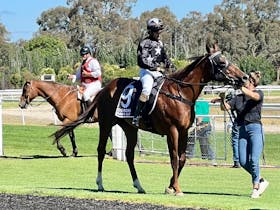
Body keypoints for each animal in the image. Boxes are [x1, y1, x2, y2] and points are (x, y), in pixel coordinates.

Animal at [52, 43, 247, 196]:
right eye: (222, 62)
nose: (244, 77)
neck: (180, 93)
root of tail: (105, 88)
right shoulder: (172, 131)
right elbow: (174, 158)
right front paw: (176, 188)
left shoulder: (184, 131)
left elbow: (182, 158)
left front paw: (170, 186)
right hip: (106, 124)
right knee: (100, 151)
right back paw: (100, 183)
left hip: (130, 128)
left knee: (129, 155)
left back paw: (139, 186)